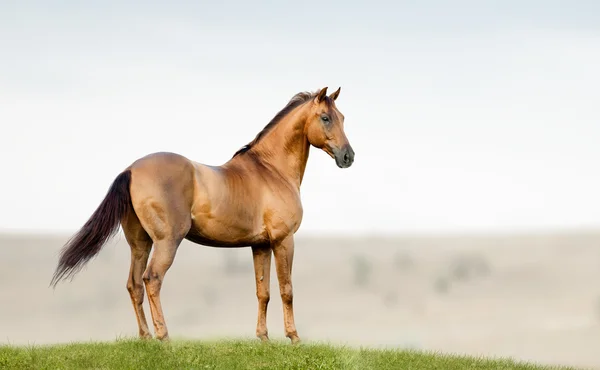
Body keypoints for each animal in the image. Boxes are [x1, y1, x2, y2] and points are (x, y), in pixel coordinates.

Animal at [50, 86, 356, 344]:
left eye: (342, 117)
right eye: (325, 118)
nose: (348, 157)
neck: (270, 170)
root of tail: (131, 170)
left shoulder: (260, 245)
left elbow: (263, 292)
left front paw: (263, 338)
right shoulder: (283, 240)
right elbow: (286, 289)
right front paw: (294, 337)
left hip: (140, 244)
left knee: (134, 284)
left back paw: (146, 337)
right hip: (166, 242)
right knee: (152, 280)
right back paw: (164, 337)